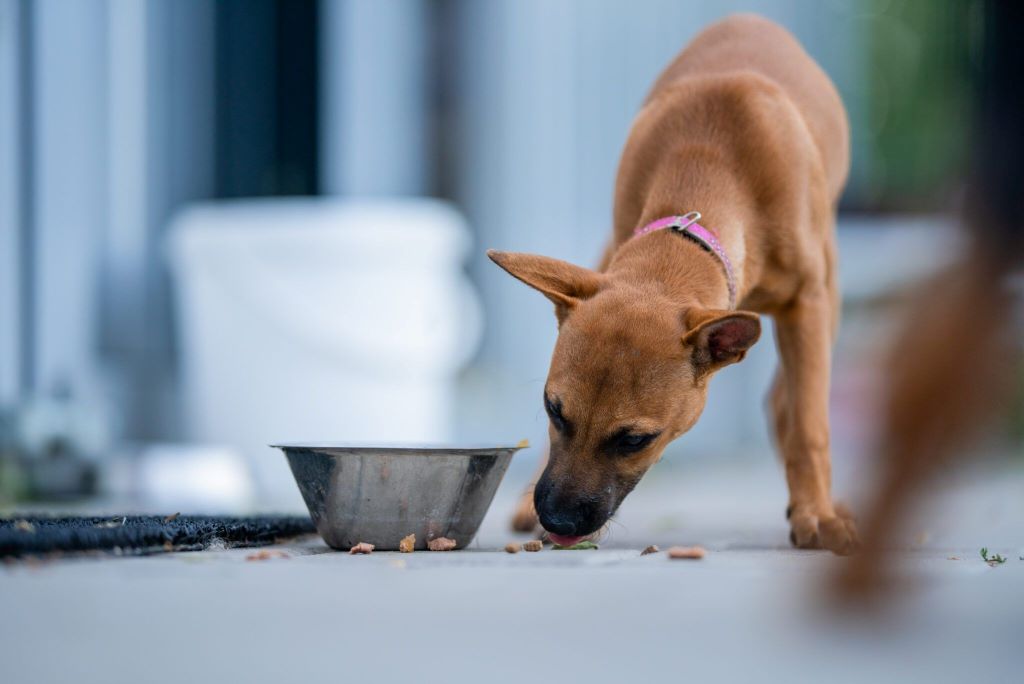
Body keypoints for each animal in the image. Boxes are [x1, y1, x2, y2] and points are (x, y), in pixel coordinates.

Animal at [491, 13, 860, 552]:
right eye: (553, 409)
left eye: (634, 440)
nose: (557, 521)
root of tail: (750, 17)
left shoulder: (807, 302)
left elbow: (811, 425)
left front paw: (816, 513)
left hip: (828, 289)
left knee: (791, 399)